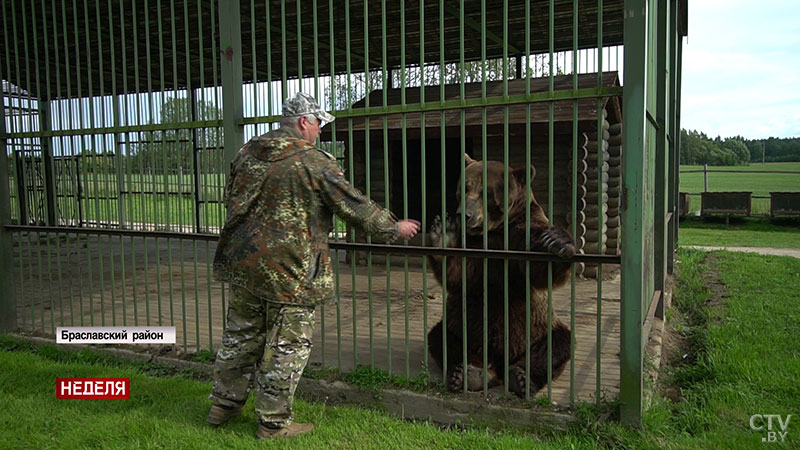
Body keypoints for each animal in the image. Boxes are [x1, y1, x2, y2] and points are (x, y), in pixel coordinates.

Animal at [424, 155, 576, 398]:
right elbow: (459, 275)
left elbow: (540, 269)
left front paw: (558, 242)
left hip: (537, 329)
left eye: (486, 192)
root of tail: (498, 363)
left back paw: (521, 378)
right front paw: (444, 233)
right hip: (464, 328)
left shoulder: (521, 233)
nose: (463, 215)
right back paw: (469, 373)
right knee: (443, 338)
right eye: (464, 188)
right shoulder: (475, 249)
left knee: (557, 344)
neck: (495, 231)